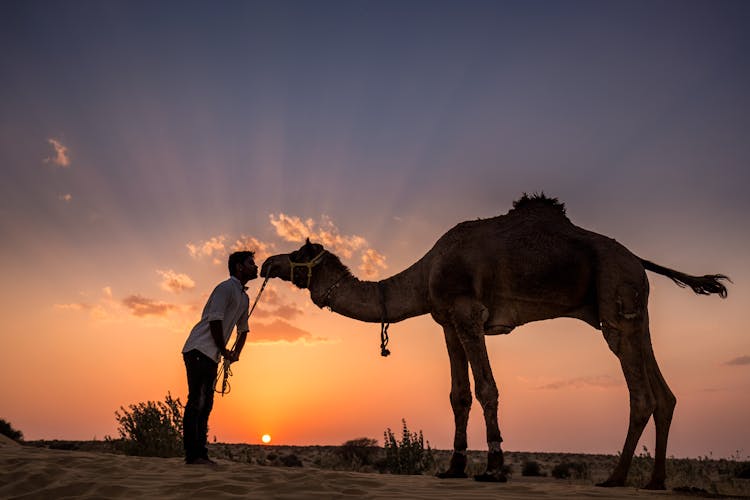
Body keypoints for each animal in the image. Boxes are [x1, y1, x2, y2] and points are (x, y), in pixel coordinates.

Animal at [258, 195, 728, 488]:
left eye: (298, 253)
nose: (266, 263)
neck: (425, 272)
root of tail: (639, 260)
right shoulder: (446, 321)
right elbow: (458, 395)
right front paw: (454, 467)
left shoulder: (468, 312)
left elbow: (487, 388)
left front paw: (496, 468)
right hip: (634, 310)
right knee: (664, 393)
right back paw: (656, 481)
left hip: (616, 298)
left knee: (641, 394)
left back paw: (615, 478)